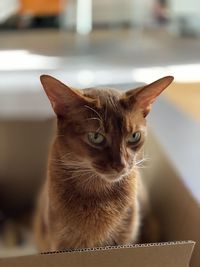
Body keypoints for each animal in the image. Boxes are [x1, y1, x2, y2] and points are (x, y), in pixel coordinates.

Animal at [34, 74, 173, 252]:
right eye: (96, 137)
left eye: (134, 136)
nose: (120, 165)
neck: (99, 195)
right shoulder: (60, 243)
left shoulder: (125, 240)